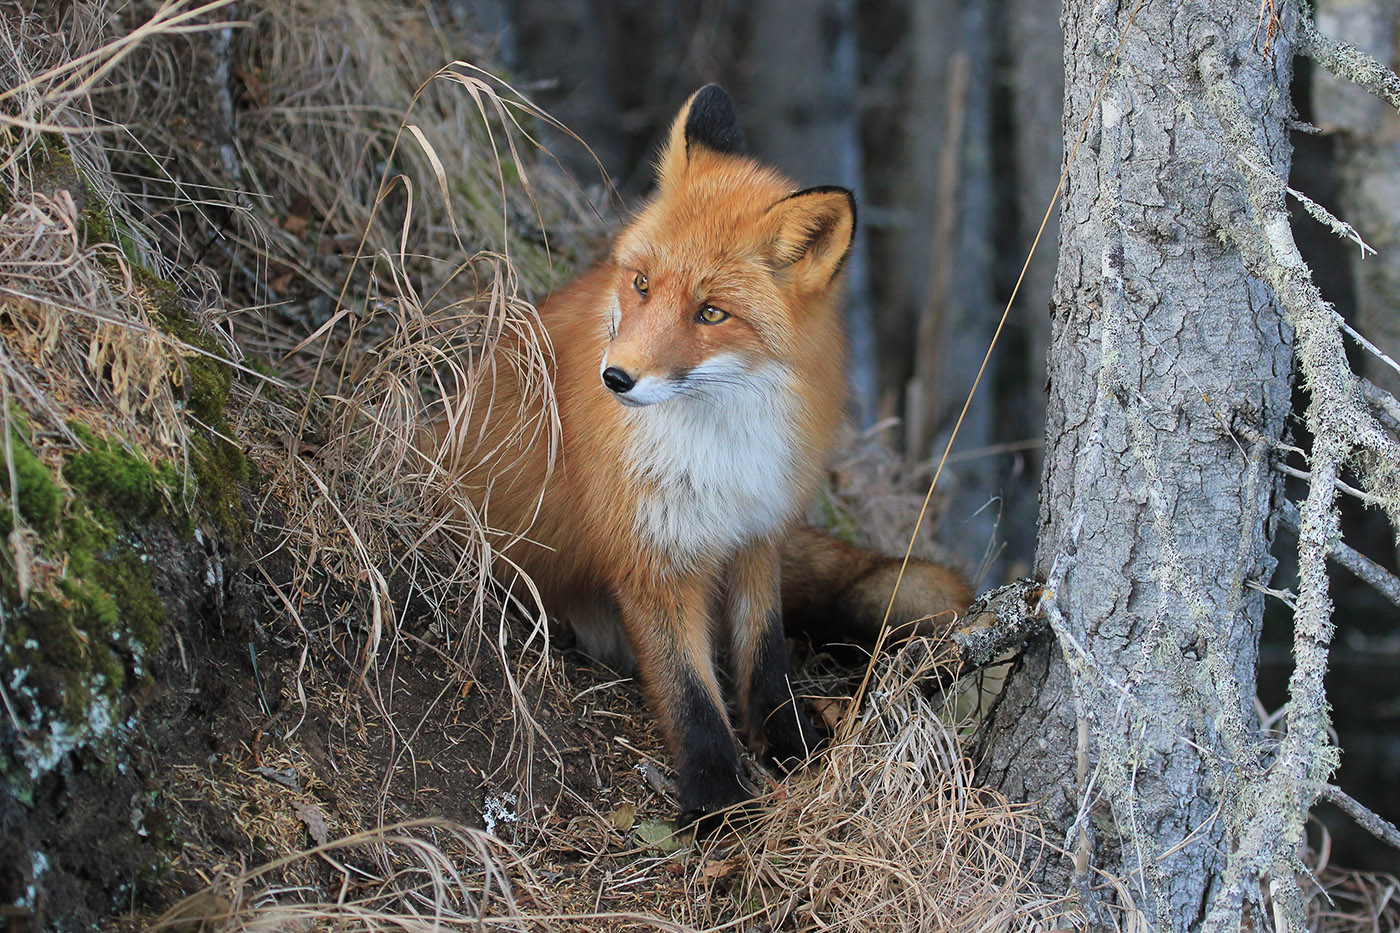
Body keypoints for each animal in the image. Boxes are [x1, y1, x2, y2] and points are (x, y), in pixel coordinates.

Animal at [436, 88, 974, 829]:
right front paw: (717, 798)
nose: (616, 378)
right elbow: (688, 690)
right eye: (639, 283)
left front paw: (787, 742)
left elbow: (763, 655)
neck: (723, 445)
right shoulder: (650, 556)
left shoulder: (755, 535)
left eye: (712, 313)